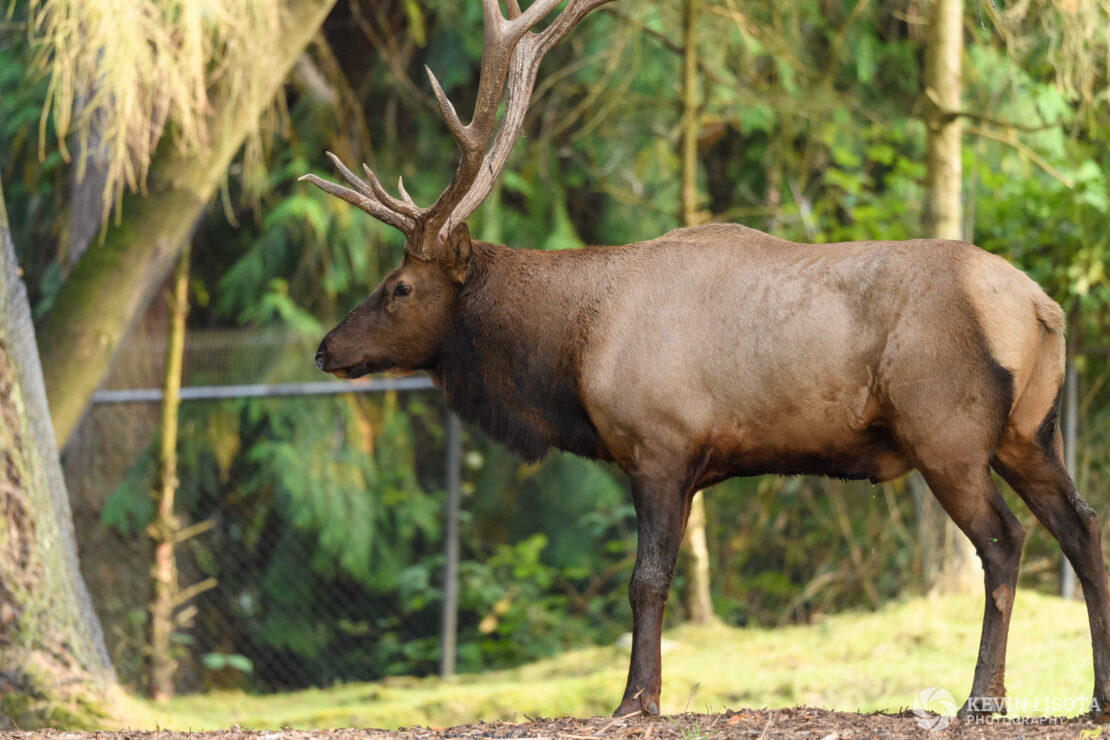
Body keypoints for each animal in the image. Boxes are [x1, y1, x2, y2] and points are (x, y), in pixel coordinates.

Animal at [301, 0, 1110, 718]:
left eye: (399, 286)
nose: (326, 346)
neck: (572, 352)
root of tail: (1043, 307)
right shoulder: (694, 462)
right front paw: (646, 695)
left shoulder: (658, 442)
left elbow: (646, 579)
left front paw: (635, 701)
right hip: (1030, 431)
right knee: (1083, 524)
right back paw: (1096, 696)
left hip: (947, 432)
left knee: (1005, 544)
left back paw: (983, 698)